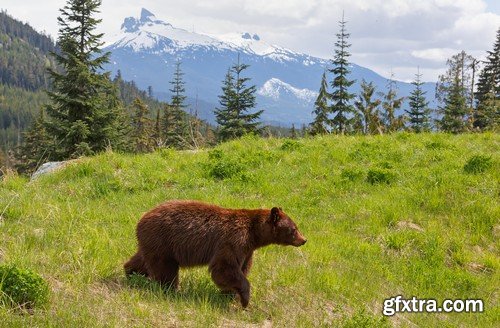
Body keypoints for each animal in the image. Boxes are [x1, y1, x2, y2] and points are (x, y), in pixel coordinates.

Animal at [123, 200, 306, 308]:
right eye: (294, 229)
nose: (304, 240)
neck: (254, 234)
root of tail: (141, 219)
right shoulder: (233, 240)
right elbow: (224, 268)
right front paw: (244, 299)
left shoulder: (247, 250)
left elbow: (242, 268)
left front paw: (230, 295)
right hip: (163, 241)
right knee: (165, 270)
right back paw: (171, 290)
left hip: (153, 243)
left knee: (142, 260)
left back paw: (131, 273)